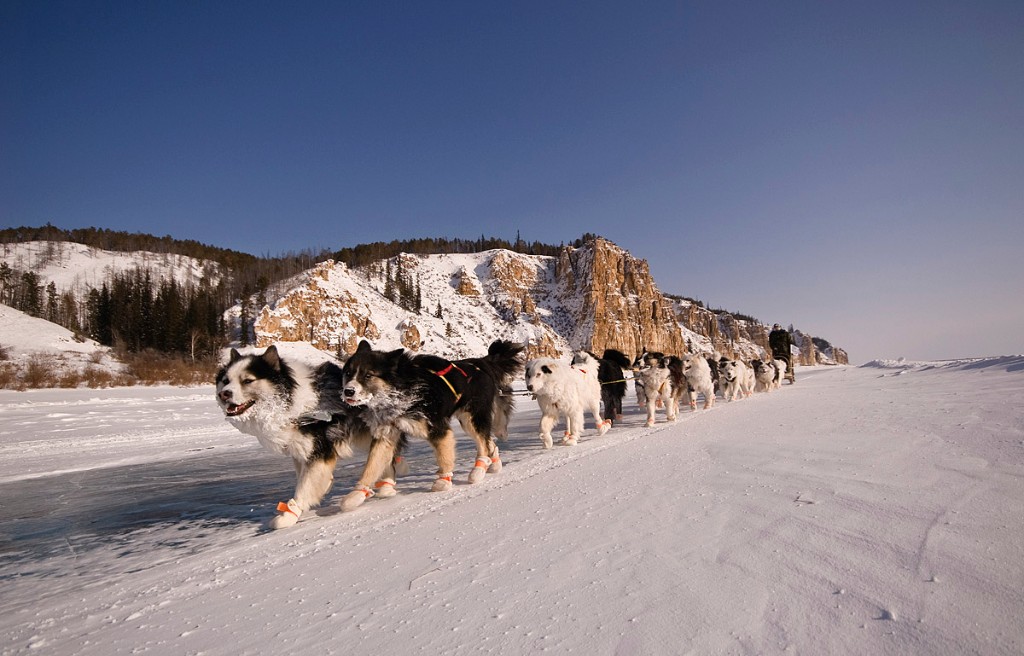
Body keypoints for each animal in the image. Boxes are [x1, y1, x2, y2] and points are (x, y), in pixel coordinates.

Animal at [214, 345, 405, 528]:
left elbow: (304, 487)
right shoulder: (300, 451)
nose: (224, 394)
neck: (293, 403)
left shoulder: (319, 452)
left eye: (247, 381)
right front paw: (323, 485)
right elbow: (304, 478)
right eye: (226, 381)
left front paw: (290, 515)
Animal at [339, 337, 524, 511]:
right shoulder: (386, 435)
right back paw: (494, 463)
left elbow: (444, 457)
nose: (348, 391)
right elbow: (371, 466)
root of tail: (480, 362)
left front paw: (443, 481)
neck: (402, 388)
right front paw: (356, 495)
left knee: (483, 443)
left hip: (471, 418)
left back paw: (478, 471)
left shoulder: (438, 429)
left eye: (368, 375)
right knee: (488, 441)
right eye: (348, 373)